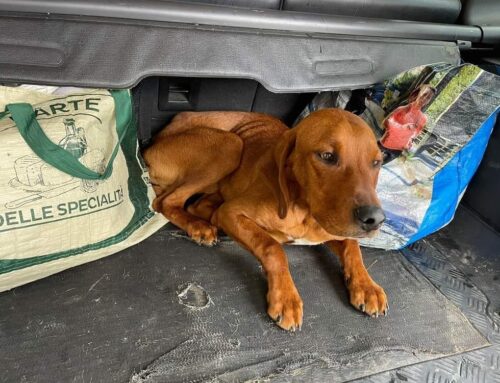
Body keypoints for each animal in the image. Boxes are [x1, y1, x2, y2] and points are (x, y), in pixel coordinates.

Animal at [144, 109, 386, 332]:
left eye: (376, 162)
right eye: (327, 156)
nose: (375, 219)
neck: (305, 213)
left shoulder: (333, 229)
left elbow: (352, 247)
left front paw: (367, 286)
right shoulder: (231, 212)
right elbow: (272, 247)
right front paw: (286, 298)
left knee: (196, 204)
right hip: (230, 144)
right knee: (165, 202)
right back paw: (198, 226)